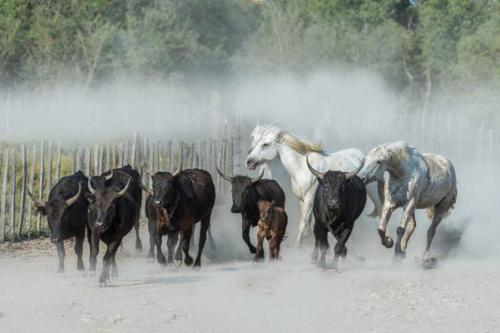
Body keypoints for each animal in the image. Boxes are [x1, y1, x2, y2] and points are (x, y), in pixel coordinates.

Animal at [246, 124, 382, 244]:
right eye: (256, 140)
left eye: (265, 144)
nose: (248, 161)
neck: (302, 167)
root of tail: (362, 155)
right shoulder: (302, 200)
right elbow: (308, 222)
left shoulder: (309, 198)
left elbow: (303, 223)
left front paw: (298, 246)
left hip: (372, 191)